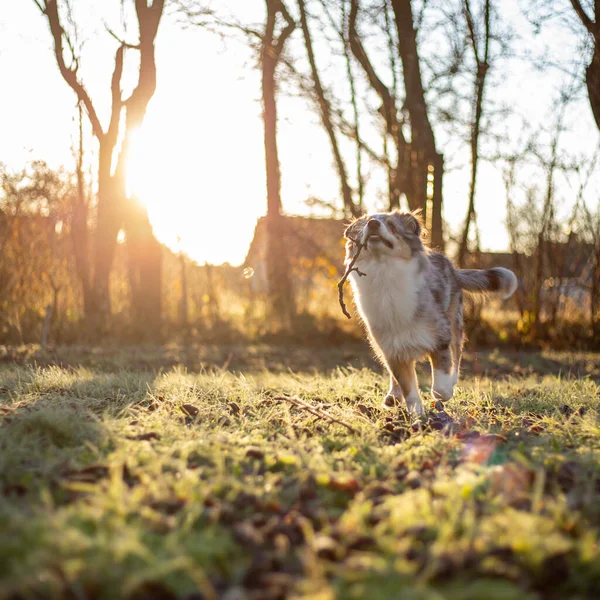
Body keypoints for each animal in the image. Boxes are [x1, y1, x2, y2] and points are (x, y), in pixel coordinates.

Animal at [344, 209, 516, 414]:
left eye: (392, 226)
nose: (373, 224)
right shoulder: (393, 350)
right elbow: (407, 386)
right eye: (364, 225)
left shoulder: (440, 338)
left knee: (457, 354)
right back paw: (393, 395)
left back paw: (452, 380)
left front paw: (445, 391)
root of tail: (452, 267)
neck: (384, 275)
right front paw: (416, 413)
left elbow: (440, 385)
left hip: (454, 322)